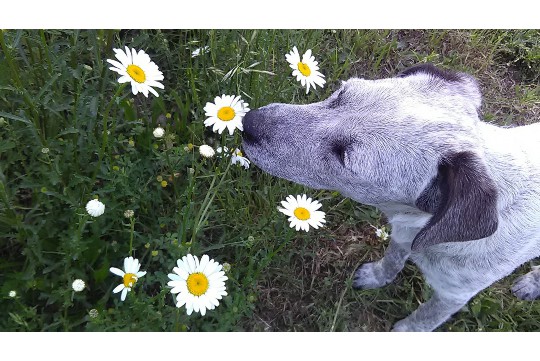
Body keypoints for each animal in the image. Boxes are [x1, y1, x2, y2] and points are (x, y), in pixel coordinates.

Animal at [243, 63, 540, 330]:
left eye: (343, 155)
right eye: (339, 95)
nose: (247, 122)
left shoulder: (452, 296)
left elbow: (422, 320)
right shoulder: (401, 236)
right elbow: (392, 260)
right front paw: (376, 277)